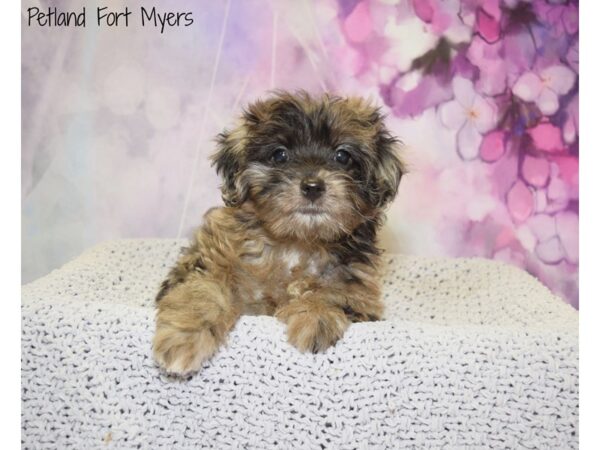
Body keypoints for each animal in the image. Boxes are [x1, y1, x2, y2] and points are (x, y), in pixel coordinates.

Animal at [152, 89, 404, 374]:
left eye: (342, 156)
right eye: (279, 155)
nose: (313, 186)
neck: (297, 241)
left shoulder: (359, 294)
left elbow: (332, 293)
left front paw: (316, 315)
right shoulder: (207, 259)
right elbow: (203, 289)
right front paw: (183, 338)